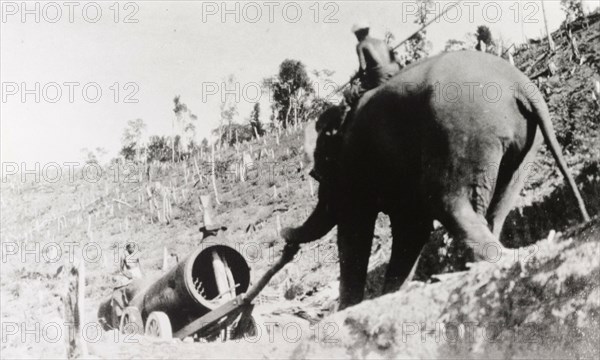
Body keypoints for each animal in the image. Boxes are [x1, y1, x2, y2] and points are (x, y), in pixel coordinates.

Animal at [282, 50, 592, 310]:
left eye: (316, 174)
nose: (285, 242)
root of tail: (519, 83)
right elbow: (412, 228)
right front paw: (391, 293)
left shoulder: (355, 169)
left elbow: (358, 229)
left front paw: (351, 307)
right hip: (523, 145)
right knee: (497, 206)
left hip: (460, 134)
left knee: (448, 202)